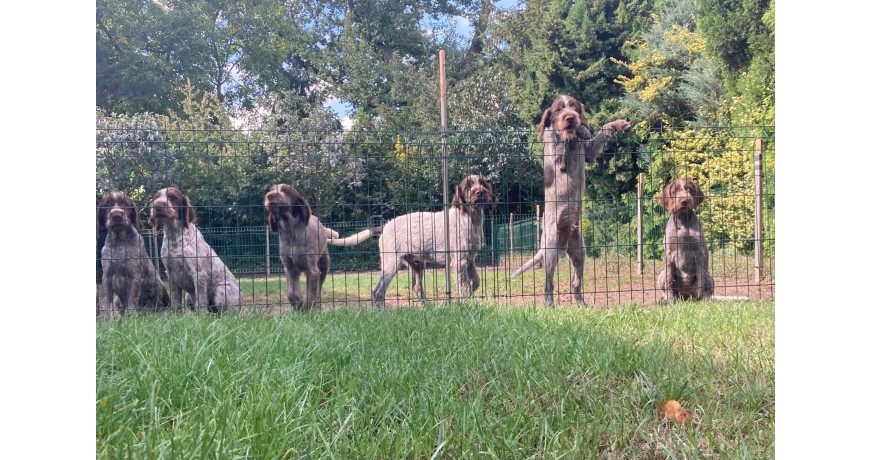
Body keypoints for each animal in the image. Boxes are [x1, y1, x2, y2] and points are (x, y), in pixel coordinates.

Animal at [262, 182, 340, 310]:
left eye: (285, 190)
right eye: (271, 190)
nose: (269, 195)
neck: (290, 231)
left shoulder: (312, 270)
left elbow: (312, 295)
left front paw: (308, 310)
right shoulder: (289, 268)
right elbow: (292, 293)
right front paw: (298, 305)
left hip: (323, 266)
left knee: (318, 290)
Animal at [328, 174, 498, 310]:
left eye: (482, 183)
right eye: (468, 186)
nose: (480, 192)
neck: (471, 219)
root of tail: (386, 225)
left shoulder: (470, 259)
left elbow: (476, 282)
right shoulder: (459, 261)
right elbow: (464, 287)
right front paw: (467, 304)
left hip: (417, 264)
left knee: (416, 287)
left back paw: (430, 307)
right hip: (392, 263)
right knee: (378, 291)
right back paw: (383, 312)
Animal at [510, 94, 632, 308]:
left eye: (575, 108)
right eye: (559, 110)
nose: (570, 118)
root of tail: (564, 240)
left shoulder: (589, 152)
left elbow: (600, 132)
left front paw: (613, 124)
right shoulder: (557, 156)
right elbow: (562, 142)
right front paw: (569, 132)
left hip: (579, 251)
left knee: (575, 282)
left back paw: (581, 304)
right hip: (550, 249)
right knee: (548, 283)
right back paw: (549, 305)